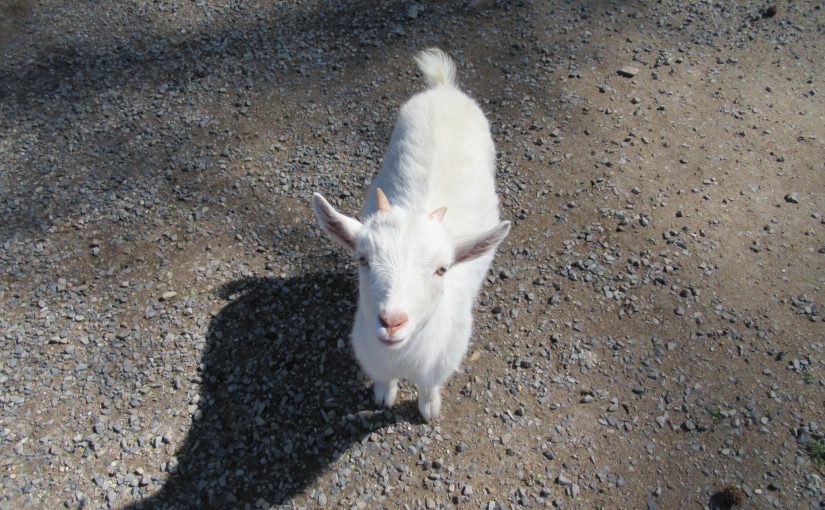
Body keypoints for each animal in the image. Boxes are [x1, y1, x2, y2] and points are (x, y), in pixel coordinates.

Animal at [310, 48, 508, 422]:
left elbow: (429, 388)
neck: (401, 358)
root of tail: (445, 89)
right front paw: (383, 396)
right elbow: (383, 382)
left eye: (442, 269)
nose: (391, 321)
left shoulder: (441, 362)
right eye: (362, 259)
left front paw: (429, 410)